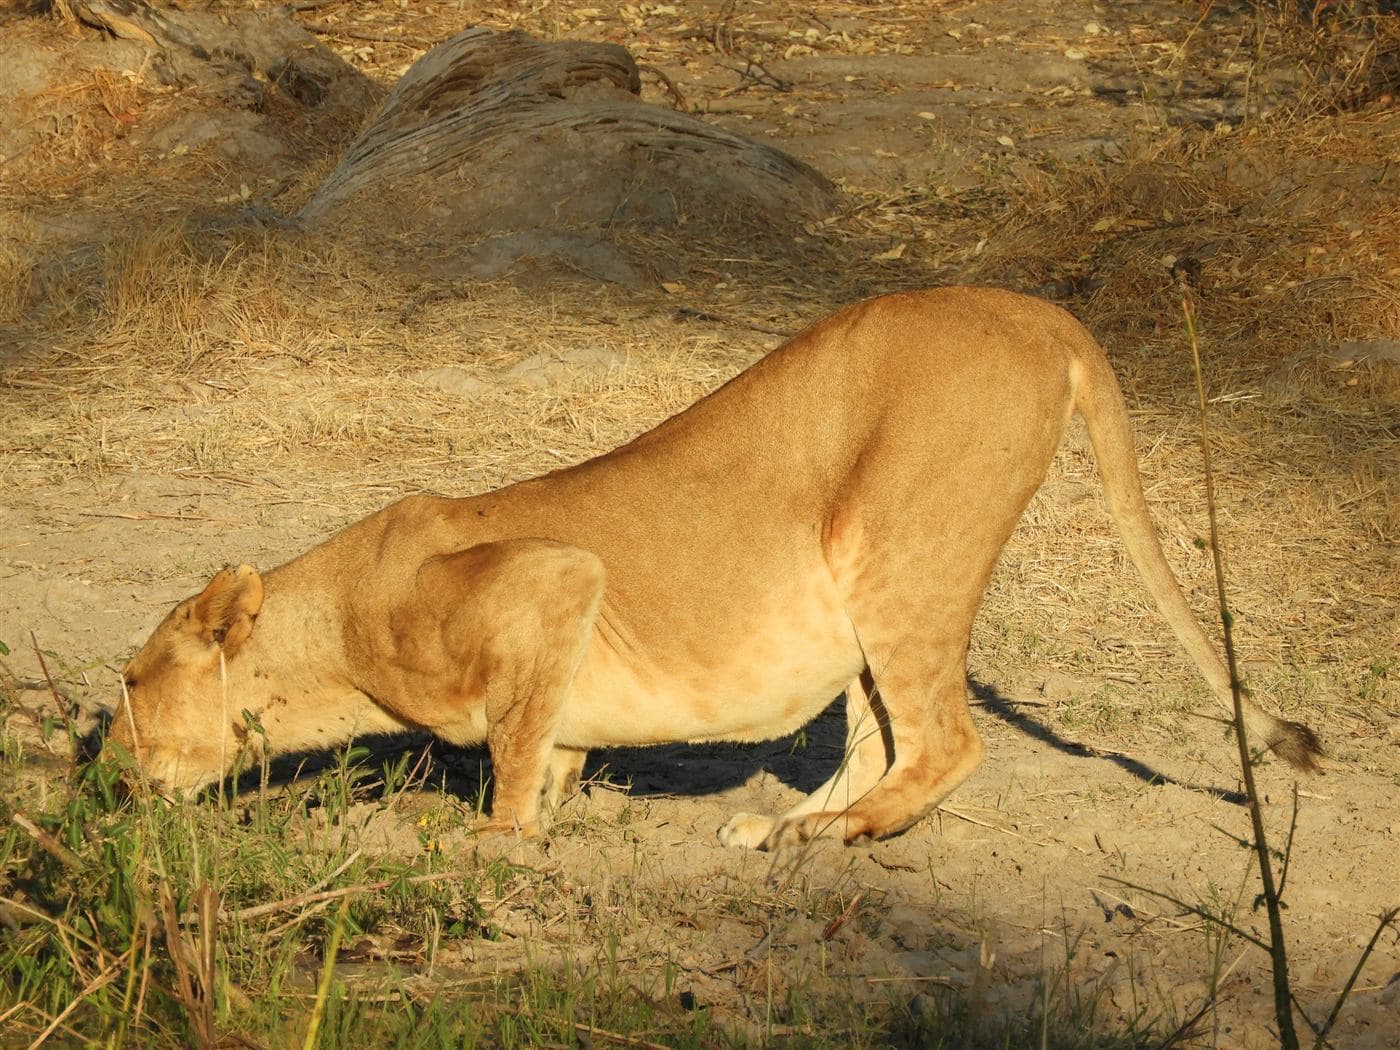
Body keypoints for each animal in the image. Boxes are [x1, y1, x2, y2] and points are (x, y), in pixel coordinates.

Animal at [107, 287, 1321, 849]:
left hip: (899, 552)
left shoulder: (556, 573)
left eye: (128, 684)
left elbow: (512, 748)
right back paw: (779, 824)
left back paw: (831, 833)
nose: (101, 776)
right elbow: (547, 740)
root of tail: (1031, 306)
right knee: (884, 732)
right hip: (856, 601)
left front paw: (496, 839)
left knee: (947, 740)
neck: (330, 631)